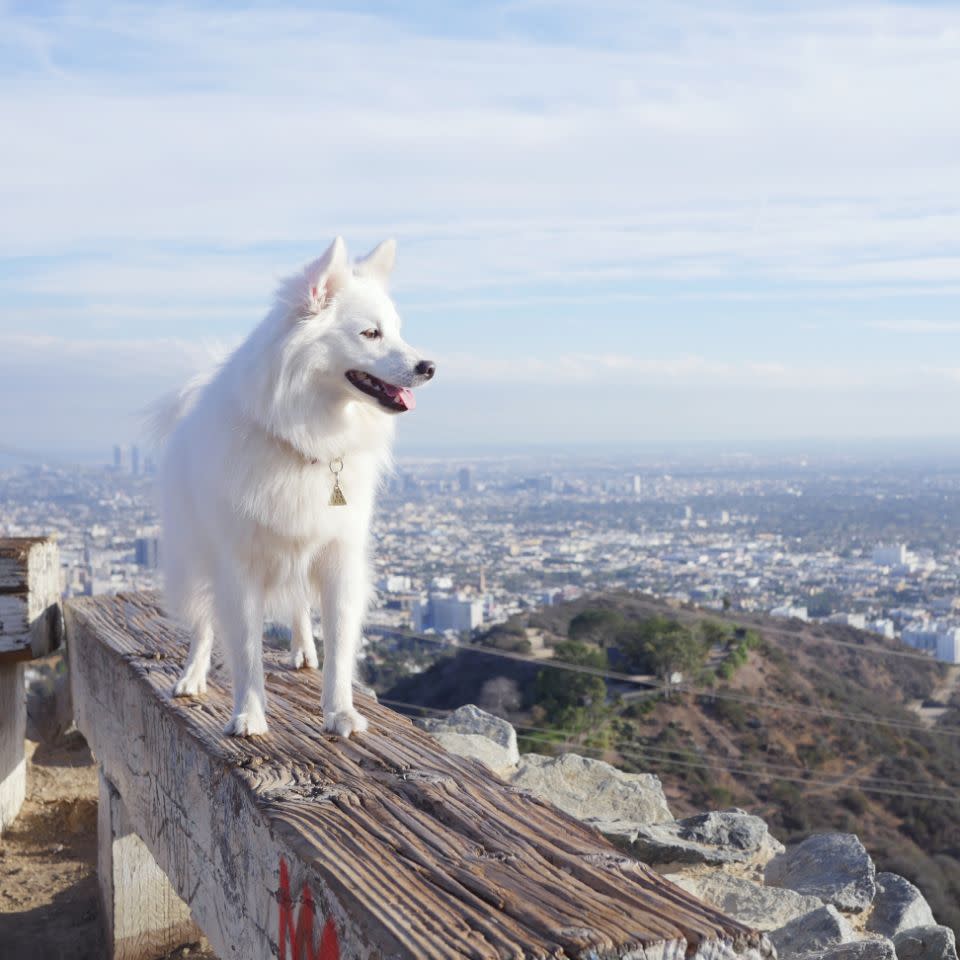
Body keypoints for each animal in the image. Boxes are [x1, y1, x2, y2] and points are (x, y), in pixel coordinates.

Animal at [153, 236, 436, 740]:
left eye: (399, 331)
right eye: (370, 334)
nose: (430, 366)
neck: (306, 440)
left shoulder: (338, 556)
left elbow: (341, 646)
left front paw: (340, 713)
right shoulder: (239, 567)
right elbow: (245, 650)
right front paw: (249, 714)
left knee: (300, 603)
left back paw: (304, 649)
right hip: (194, 558)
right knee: (203, 623)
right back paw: (192, 675)